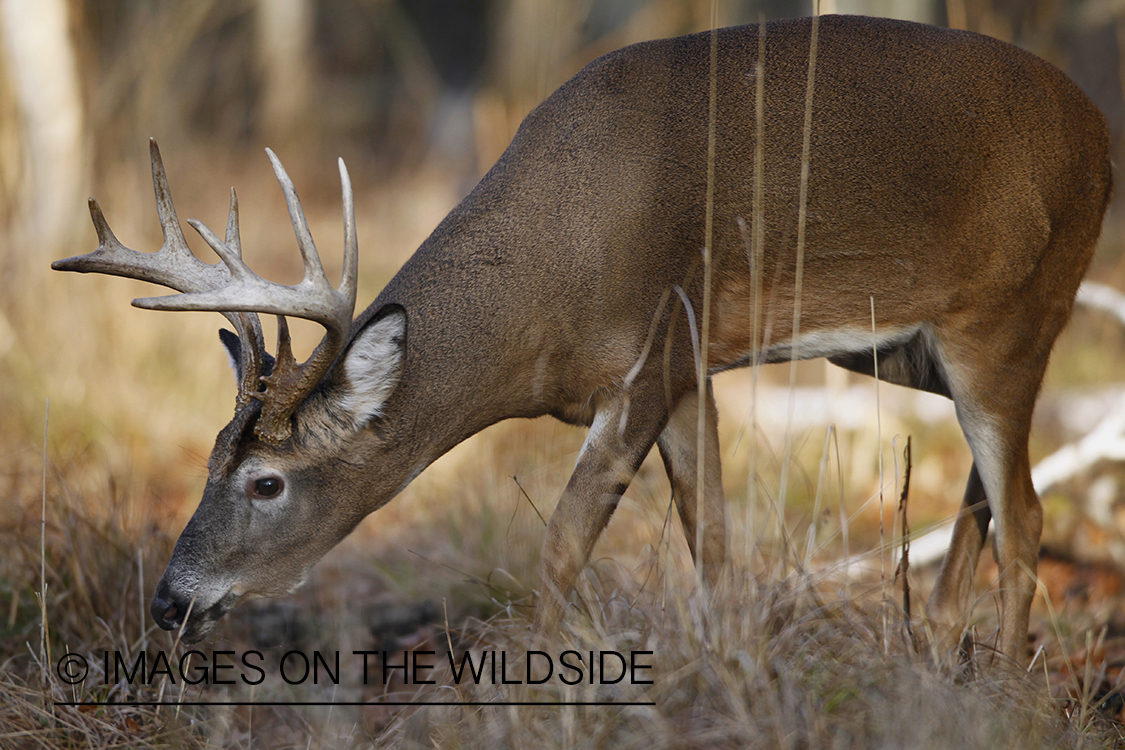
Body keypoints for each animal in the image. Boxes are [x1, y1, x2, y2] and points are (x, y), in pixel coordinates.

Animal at [54, 16, 1107, 661]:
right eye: (206, 461)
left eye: (266, 482)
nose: (171, 600)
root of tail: (1100, 131)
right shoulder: (690, 367)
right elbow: (711, 536)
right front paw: (726, 661)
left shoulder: (648, 354)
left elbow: (563, 540)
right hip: (907, 351)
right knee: (990, 494)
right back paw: (933, 646)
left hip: (1007, 316)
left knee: (1026, 515)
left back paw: (1001, 682)